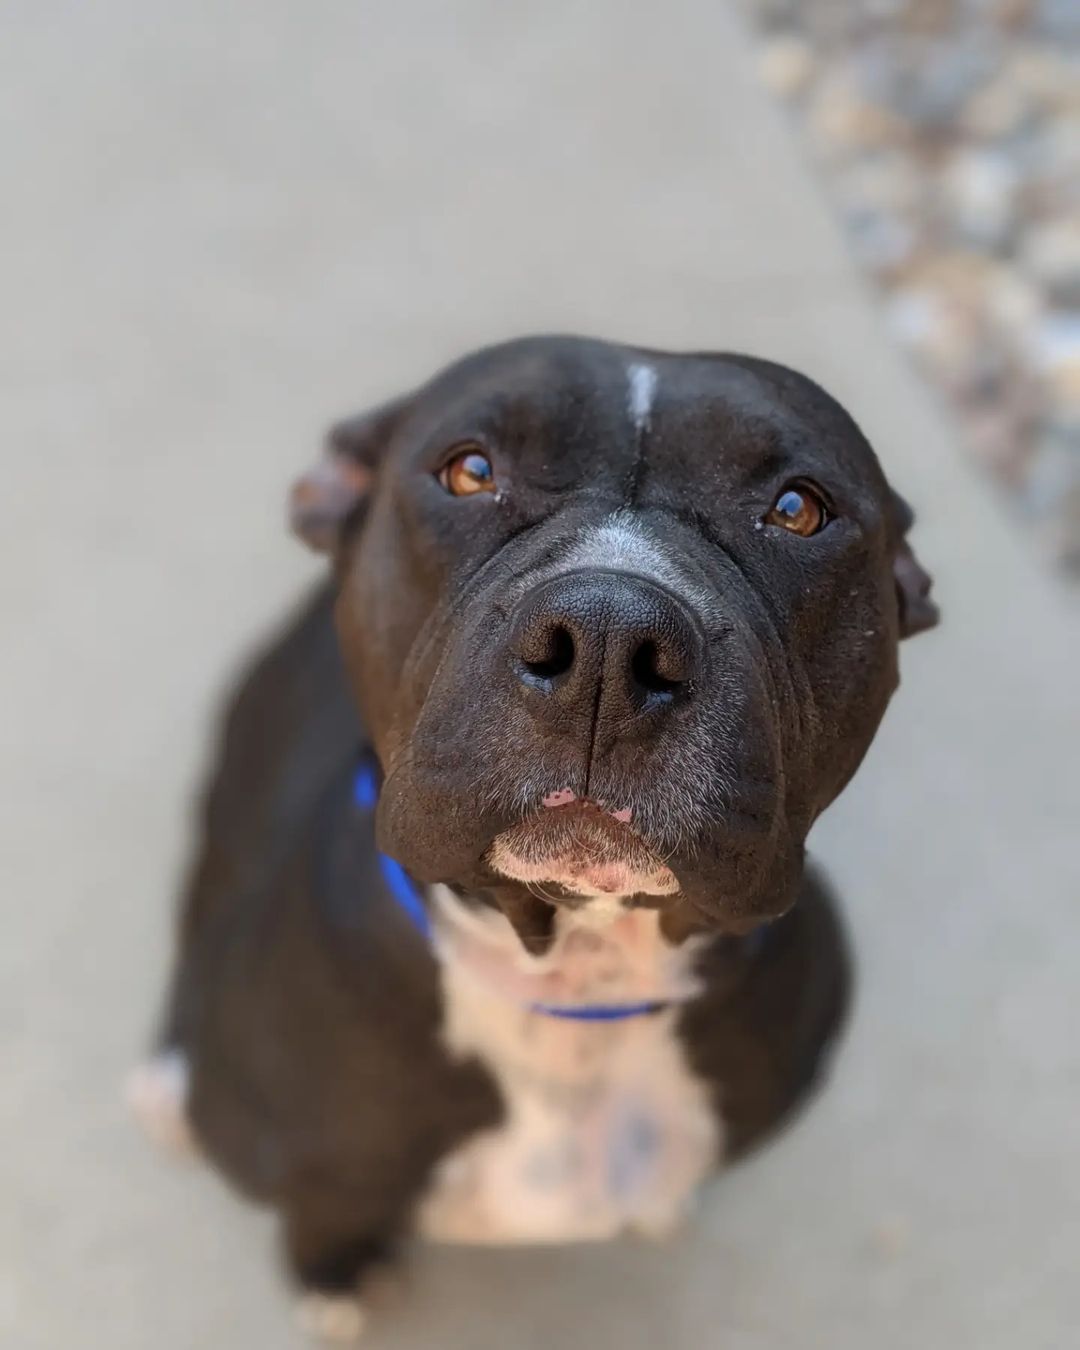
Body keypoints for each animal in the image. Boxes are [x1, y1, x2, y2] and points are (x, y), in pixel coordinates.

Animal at [130, 334, 934, 1339]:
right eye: (469, 471)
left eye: (798, 509)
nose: (609, 641)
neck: (577, 983)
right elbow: (320, 1211)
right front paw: (336, 1276)